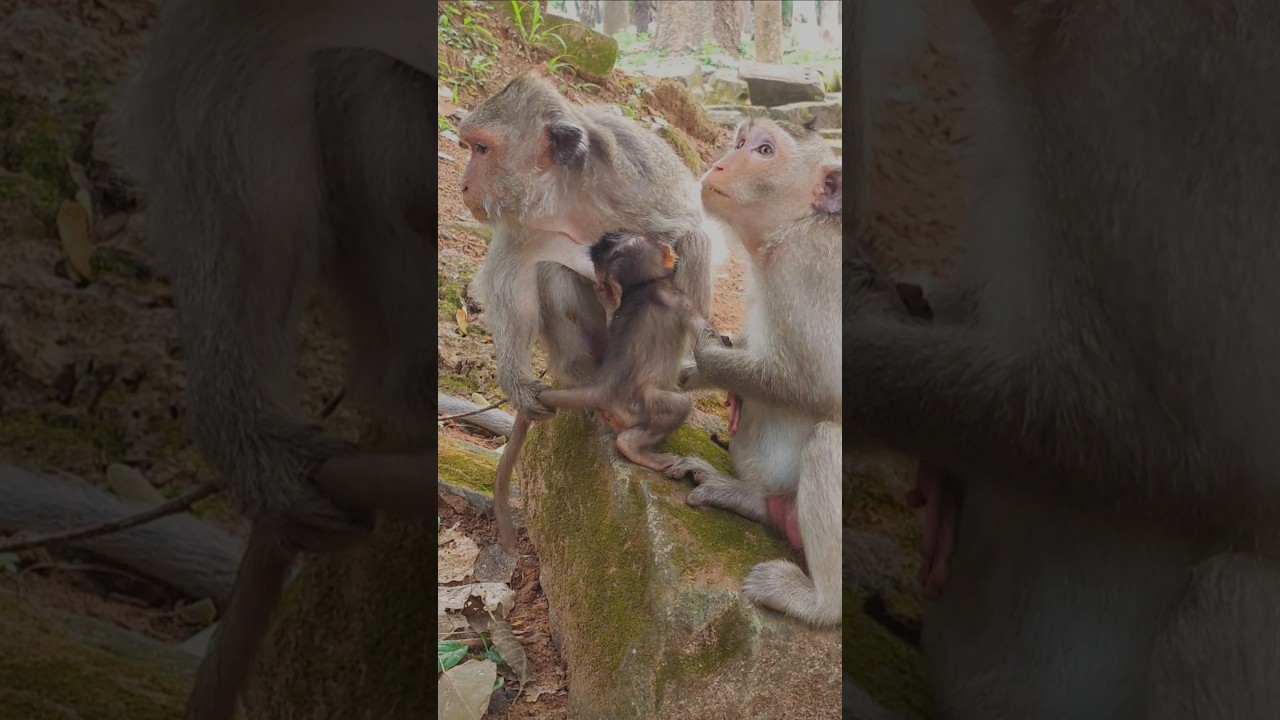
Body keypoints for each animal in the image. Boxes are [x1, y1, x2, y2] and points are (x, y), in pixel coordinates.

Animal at [458, 70, 714, 550]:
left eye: (481, 149)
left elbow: (686, 234)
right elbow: (510, 281)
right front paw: (516, 380)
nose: (463, 185)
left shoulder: (636, 181)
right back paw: (580, 371)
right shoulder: (521, 217)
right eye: (469, 146)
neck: (565, 188)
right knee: (552, 269)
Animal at [663, 117, 842, 629]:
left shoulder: (805, 266)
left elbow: (819, 387)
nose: (721, 162)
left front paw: (705, 353)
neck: (799, 223)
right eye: (740, 142)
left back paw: (820, 604)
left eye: (764, 151)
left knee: (829, 441)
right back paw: (748, 497)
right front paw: (692, 373)